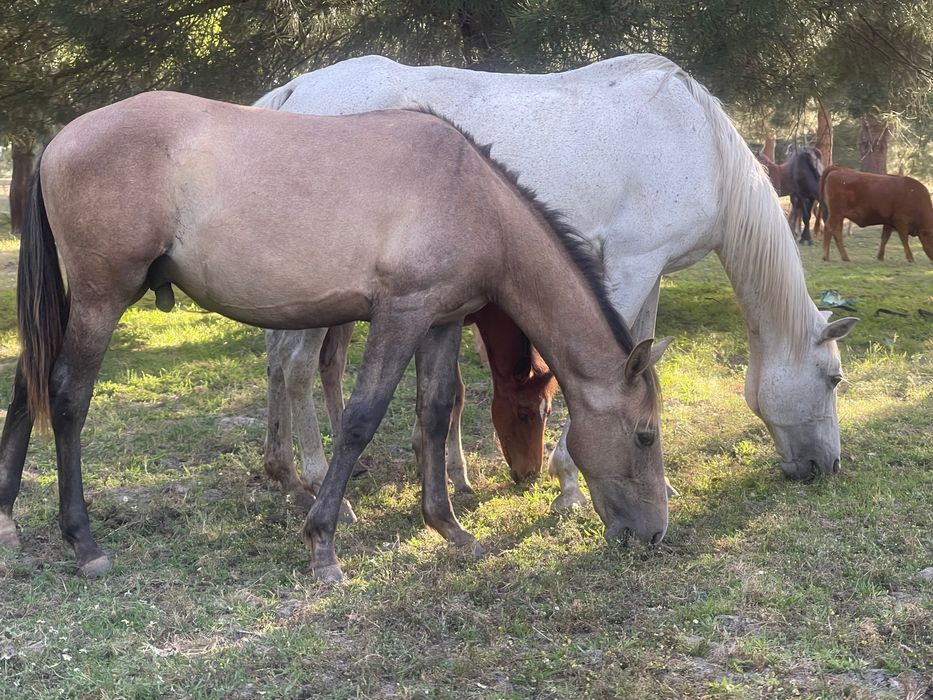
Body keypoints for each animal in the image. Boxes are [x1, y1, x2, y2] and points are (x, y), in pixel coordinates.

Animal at [0, 91, 671, 581]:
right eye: (644, 435)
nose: (654, 533)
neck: (474, 198)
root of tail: (61, 139)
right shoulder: (401, 315)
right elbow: (361, 417)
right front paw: (322, 543)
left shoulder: (440, 321)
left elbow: (434, 413)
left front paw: (448, 526)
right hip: (101, 298)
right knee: (66, 397)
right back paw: (83, 542)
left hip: (75, 304)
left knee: (27, 385)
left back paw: (7, 517)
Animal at [256, 54, 858, 511]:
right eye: (834, 380)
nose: (827, 465)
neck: (699, 145)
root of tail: (296, 89)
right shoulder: (630, 267)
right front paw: (570, 483)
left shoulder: (650, 271)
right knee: (300, 368)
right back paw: (317, 479)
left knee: (283, 363)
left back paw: (287, 472)